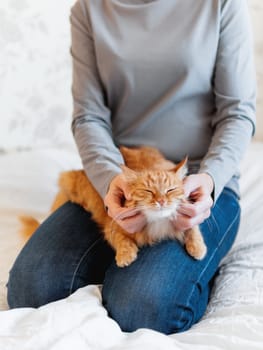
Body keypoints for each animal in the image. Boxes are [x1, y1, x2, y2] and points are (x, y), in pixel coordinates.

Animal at [20, 146, 207, 266]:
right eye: (148, 191)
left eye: (170, 190)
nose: (161, 201)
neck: (157, 222)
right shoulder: (112, 226)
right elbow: (120, 239)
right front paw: (125, 255)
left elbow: (194, 229)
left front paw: (198, 248)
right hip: (68, 180)